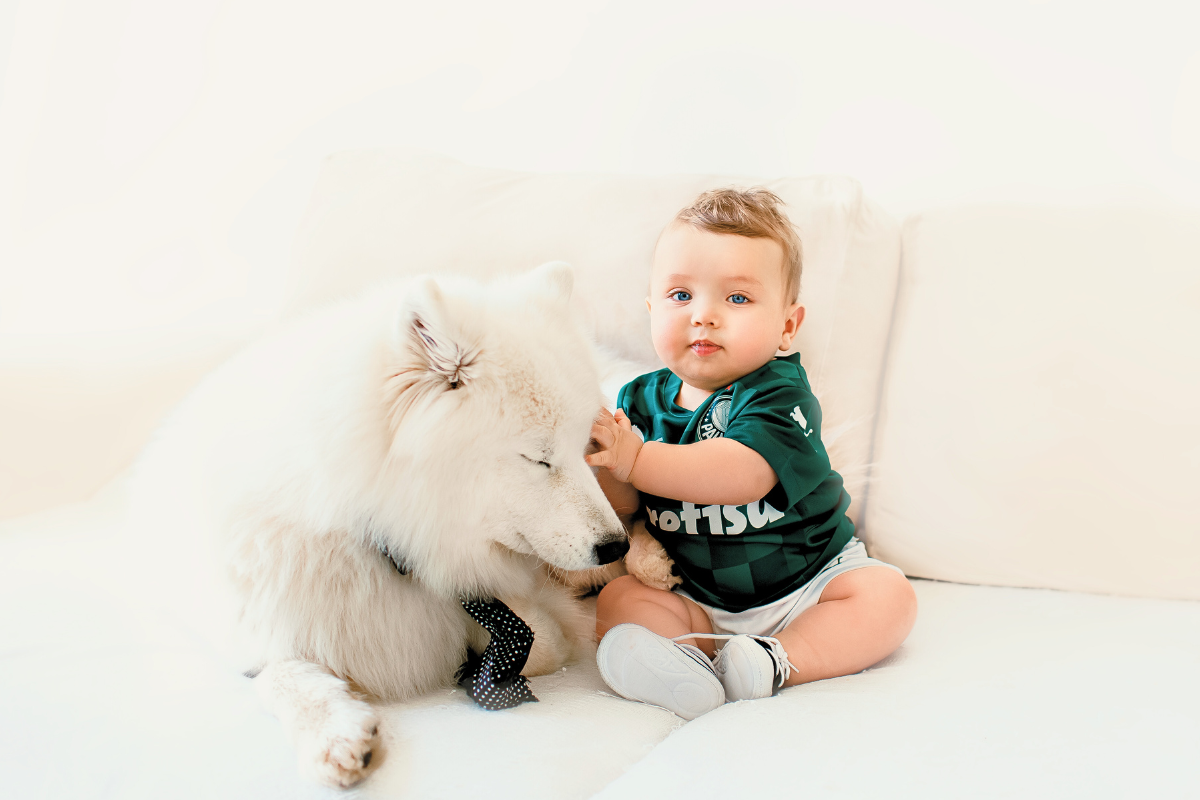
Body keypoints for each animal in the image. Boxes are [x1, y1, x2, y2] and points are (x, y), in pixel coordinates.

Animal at [133, 262, 628, 786]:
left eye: (584, 448)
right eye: (538, 458)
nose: (616, 546)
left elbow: (534, 636)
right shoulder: (255, 623)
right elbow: (277, 672)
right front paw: (333, 733)